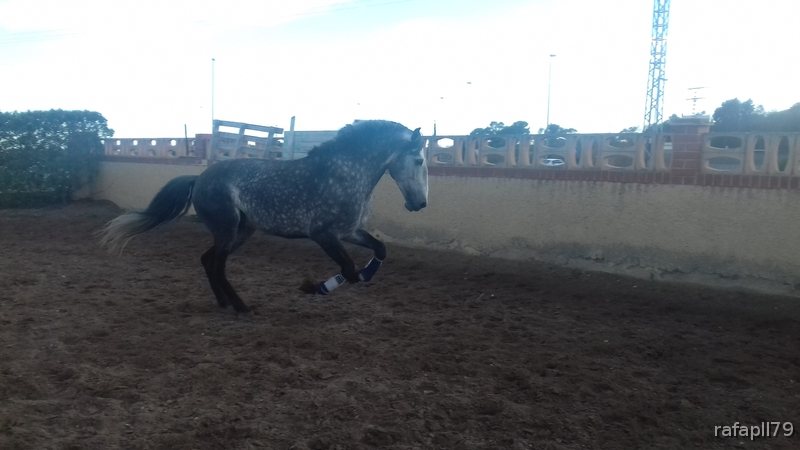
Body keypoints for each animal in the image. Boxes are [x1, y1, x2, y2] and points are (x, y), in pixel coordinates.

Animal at [98, 120, 428, 313]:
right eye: (419, 159)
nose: (420, 203)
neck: (345, 173)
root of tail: (199, 178)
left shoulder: (349, 231)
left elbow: (378, 251)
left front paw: (351, 280)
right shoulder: (323, 234)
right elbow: (348, 270)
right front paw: (314, 287)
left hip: (241, 231)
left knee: (207, 260)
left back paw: (223, 303)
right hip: (228, 229)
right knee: (217, 265)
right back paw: (241, 307)